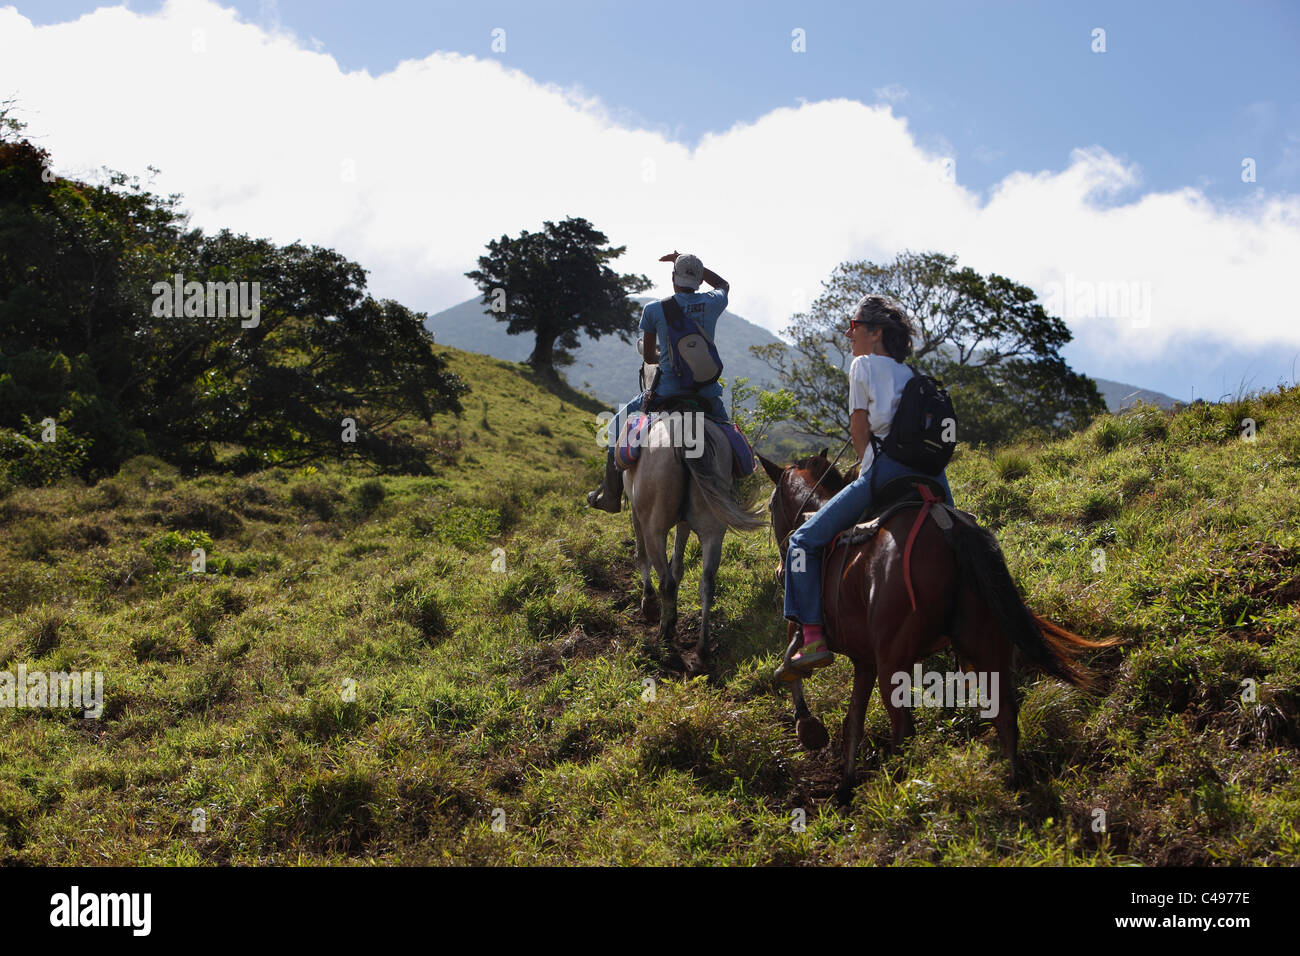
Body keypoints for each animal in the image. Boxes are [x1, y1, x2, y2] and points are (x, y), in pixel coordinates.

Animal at [759, 452, 1118, 806]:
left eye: (771, 505)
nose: (779, 567)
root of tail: (947, 526)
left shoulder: (806, 631)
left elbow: (792, 671)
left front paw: (808, 728)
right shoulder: (864, 660)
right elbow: (853, 722)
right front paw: (846, 785)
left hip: (894, 662)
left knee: (904, 730)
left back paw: (897, 798)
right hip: (986, 644)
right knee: (1004, 713)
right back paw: (1014, 788)